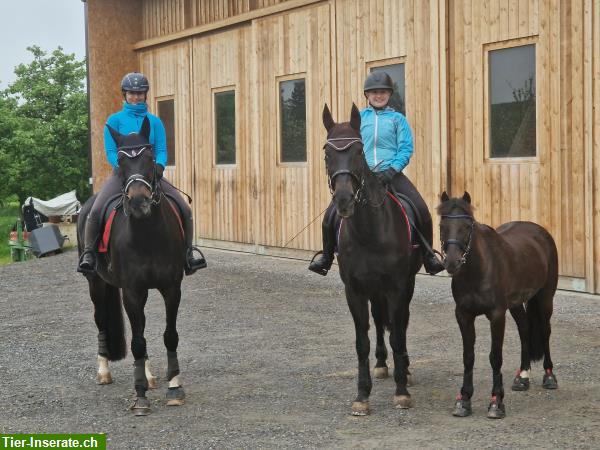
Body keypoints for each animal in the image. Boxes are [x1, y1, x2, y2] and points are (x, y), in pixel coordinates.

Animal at [78, 117, 185, 414]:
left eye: (149, 158)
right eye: (121, 161)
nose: (138, 202)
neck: (147, 234)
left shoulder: (171, 288)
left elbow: (169, 335)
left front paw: (175, 387)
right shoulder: (132, 291)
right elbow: (137, 342)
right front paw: (140, 397)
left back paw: (149, 377)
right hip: (96, 284)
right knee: (101, 321)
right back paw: (104, 371)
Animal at [324, 104, 422, 414]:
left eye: (358, 151)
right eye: (327, 153)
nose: (344, 200)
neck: (369, 232)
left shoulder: (397, 287)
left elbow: (398, 333)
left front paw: (402, 391)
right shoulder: (355, 290)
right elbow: (362, 342)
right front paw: (362, 396)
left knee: (400, 323)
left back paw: (405, 368)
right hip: (374, 290)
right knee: (380, 322)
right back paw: (381, 364)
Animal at [436, 192, 556, 420]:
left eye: (468, 226)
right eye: (442, 225)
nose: (452, 263)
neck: (478, 270)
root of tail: (540, 232)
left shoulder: (497, 315)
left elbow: (495, 357)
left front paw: (496, 402)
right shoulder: (463, 315)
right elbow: (468, 357)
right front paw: (464, 400)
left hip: (545, 297)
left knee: (545, 331)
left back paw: (549, 377)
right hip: (516, 304)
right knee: (525, 329)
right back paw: (523, 377)